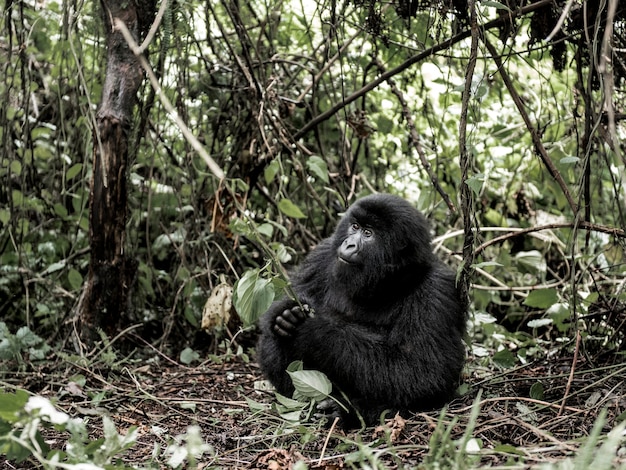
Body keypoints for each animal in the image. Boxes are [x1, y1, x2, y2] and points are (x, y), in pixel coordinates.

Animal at [256, 193, 466, 428]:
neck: (389, 282)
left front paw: (315, 330)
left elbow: (423, 373)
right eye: (354, 226)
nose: (348, 244)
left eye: (368, 233)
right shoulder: (321, 254)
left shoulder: (436, 290)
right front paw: (286, 314)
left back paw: (347, 409)